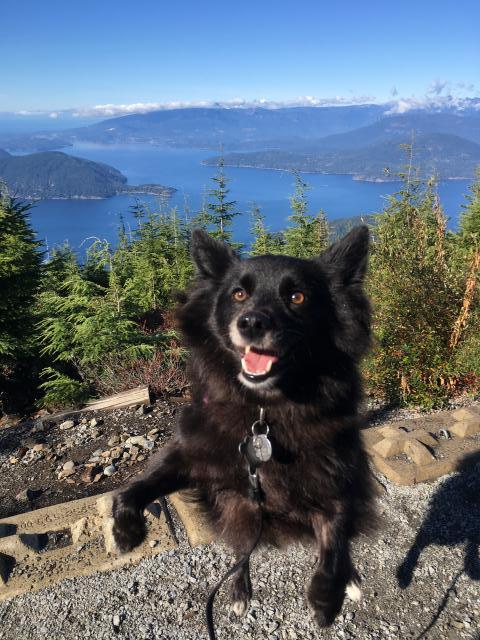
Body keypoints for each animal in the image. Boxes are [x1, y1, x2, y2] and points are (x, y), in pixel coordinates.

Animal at [111, 228, 376, 628]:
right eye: (239, 294)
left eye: (297, 297)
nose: (251, 323)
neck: (263, 412)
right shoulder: (192, 454)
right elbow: (136, 488)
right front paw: (127, 531)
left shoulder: (335, 477)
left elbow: (334, 539)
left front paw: (326, 597)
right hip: (237, 506)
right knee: (240, 548)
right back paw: (238, 590)